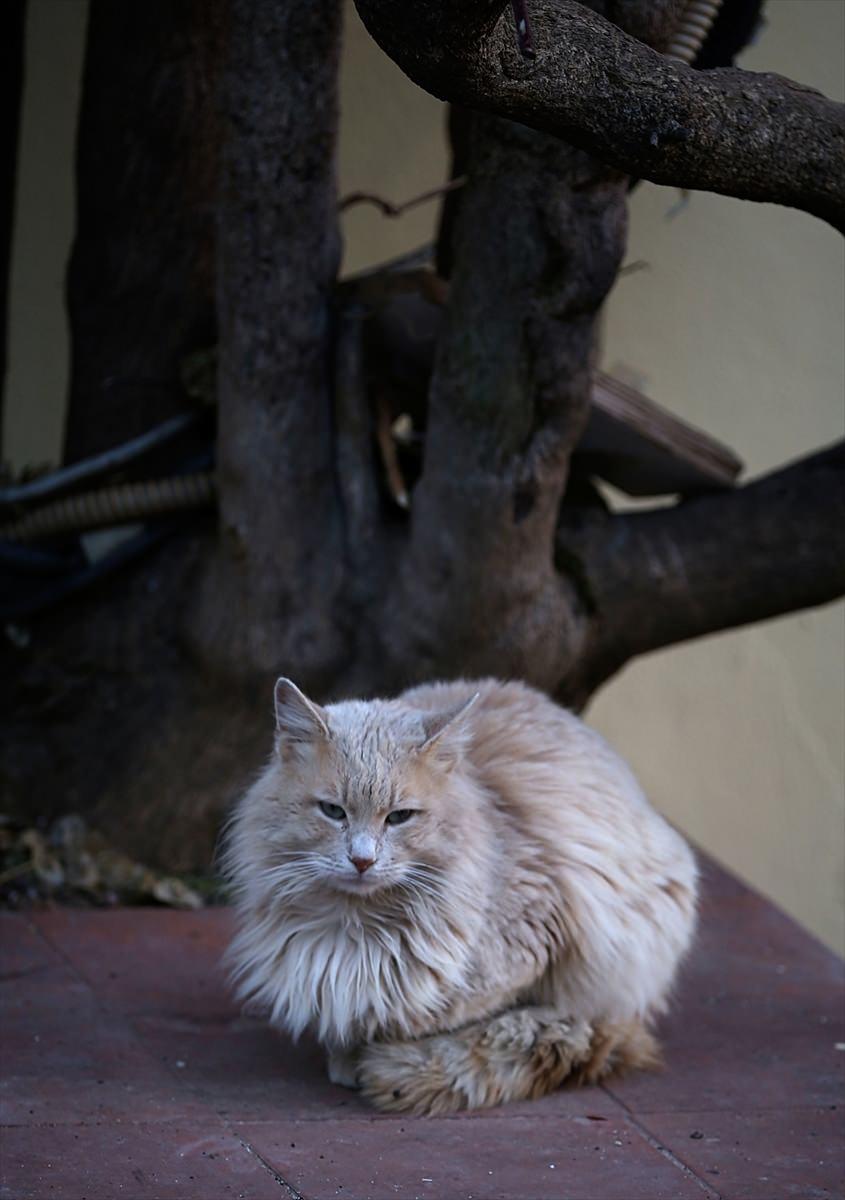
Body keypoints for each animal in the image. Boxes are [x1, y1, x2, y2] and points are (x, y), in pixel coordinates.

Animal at [225, 681, 700, 1108]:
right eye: (332, 812)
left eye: (399, 818)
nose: (362, 861)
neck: (358, 930)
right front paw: (347, 1057)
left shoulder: (533, 945)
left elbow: (441, 1020)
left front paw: (382, 1060)